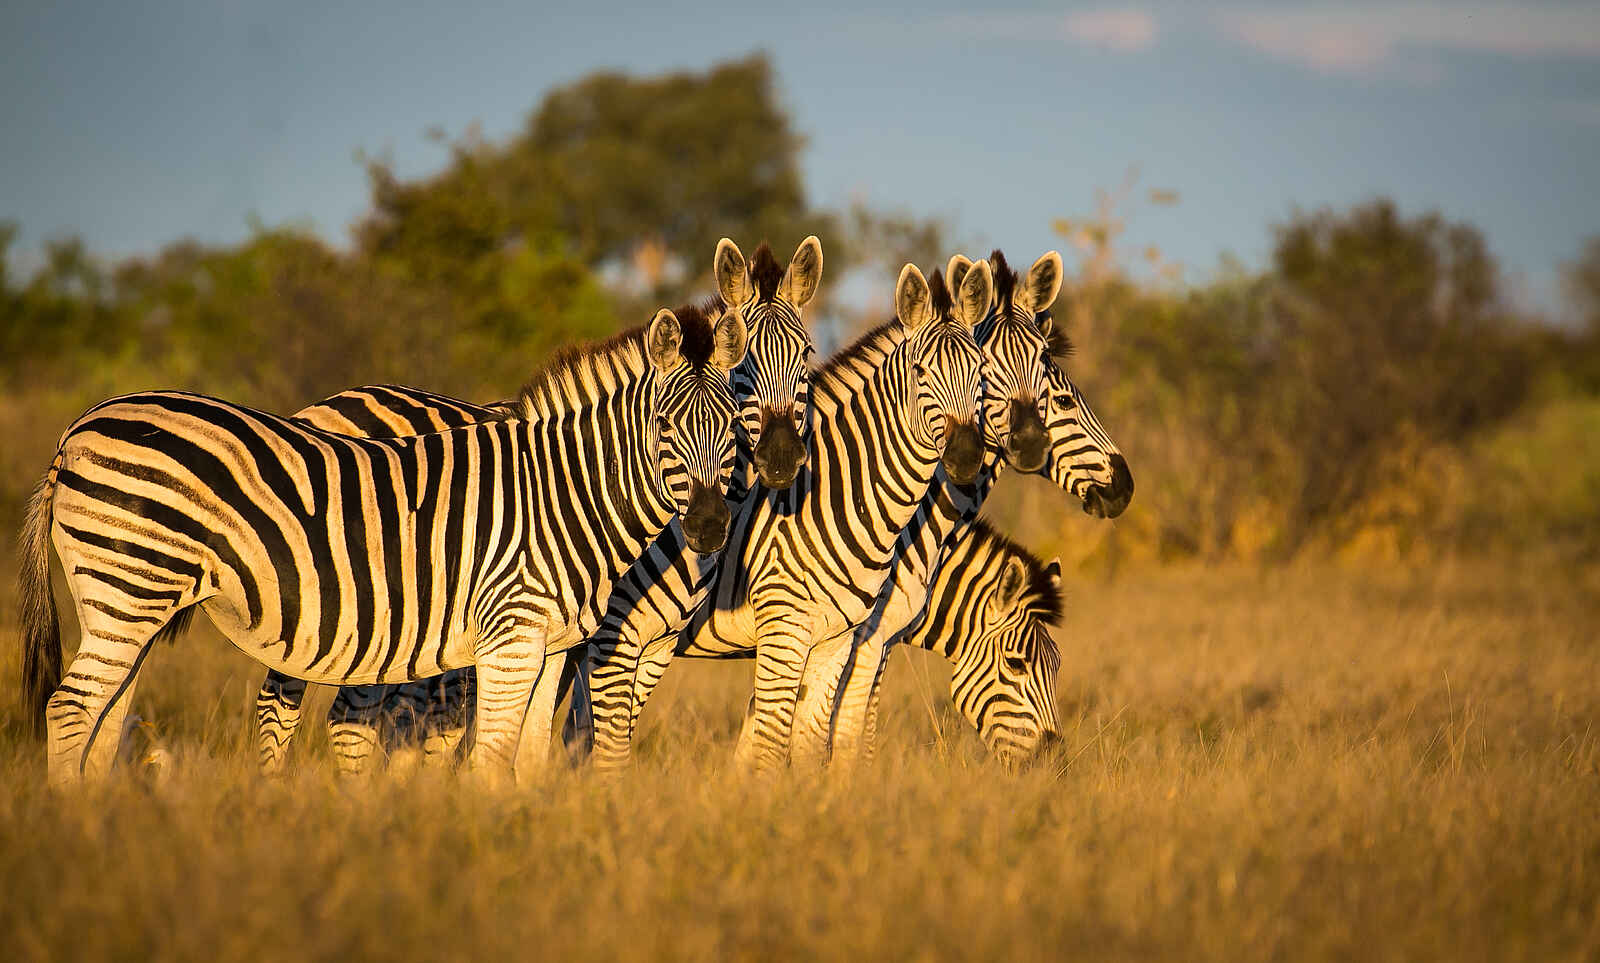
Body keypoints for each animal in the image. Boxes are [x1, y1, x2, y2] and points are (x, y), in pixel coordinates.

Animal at [19, 302, 749, 787]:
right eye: (664, 425)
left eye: (736, 428)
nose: (711, 528)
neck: (565, 492)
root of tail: (75, 432)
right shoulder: (510, 635)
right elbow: (492, 759)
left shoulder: (550, 645)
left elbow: (530, 755)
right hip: (128, 585)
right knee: (71, 707)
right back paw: (75, 831)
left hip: (127, 599)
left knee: (106, 714)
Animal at [252, 237, 823, 774]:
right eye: (744, 367)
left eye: (807, 355)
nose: (781, 458)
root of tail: (325, 404)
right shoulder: (605, 635)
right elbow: (585, 734)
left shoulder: (645, 643)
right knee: (291, 705)